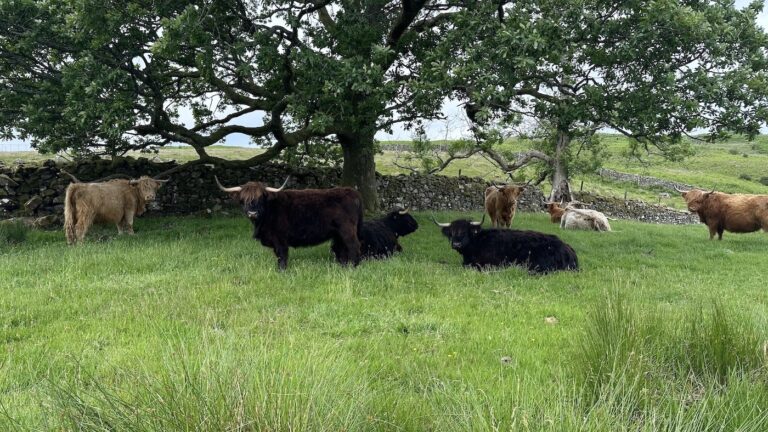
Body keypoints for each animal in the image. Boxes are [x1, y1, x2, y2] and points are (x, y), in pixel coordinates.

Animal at [216, 176, 363, 270]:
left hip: (347, 230)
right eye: (243, 199)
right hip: (338, 233)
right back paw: (343, 266)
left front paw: (282, 270)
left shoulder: (280, 238)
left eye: (261, 198)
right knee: (342, 248)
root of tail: (353, 192)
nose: (252, 213)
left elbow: (282, 254)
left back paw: (352, 267)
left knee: (354, 246)